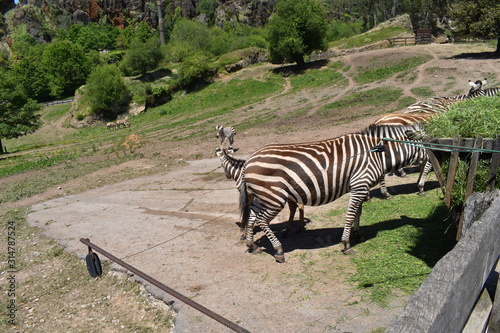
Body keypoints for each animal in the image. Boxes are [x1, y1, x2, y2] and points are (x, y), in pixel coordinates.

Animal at [240, 122, 424, 262]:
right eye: (428, 142)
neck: (376, 154)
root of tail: (248, 160)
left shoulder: (359, 187)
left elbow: (358, 212)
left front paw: (358, 234)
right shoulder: (360, 185)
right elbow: (351, 215)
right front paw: (346, 244)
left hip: (262, 196)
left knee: (252, 216)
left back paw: (252, 245)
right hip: (274, 197)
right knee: (262, 220)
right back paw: (279, 251)